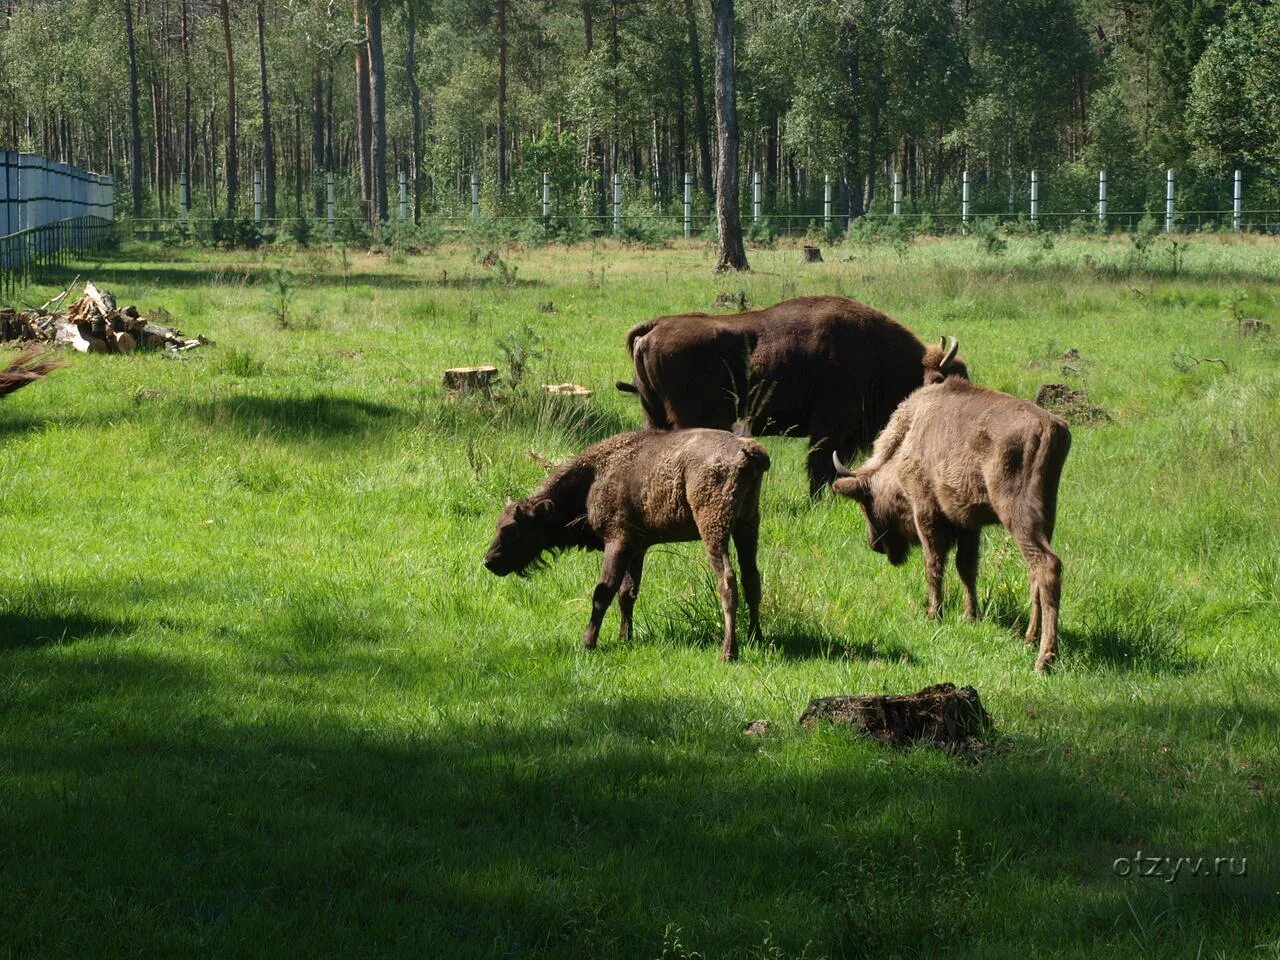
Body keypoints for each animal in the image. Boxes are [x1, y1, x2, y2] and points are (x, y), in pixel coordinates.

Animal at [481, 427, 768, 660]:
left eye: (512, 529)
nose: (488, 561)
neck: (594, 477)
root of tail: (748, 451)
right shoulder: (637, 548)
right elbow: (627, 593)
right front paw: (624, 638)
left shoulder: (618, 542)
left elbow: (603, 592)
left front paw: (588, 642)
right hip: (747, 525)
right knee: (751, 578)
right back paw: (756, 637)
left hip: (714, 527)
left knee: (727, 580)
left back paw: (729, 652)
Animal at [614, 296, 962, 499]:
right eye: (941, 382)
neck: (881, 355)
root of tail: (656, 326)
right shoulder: (829, 427)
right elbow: (820, 465)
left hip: (653, 412)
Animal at [829, 378, 1070, 675]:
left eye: (866, 503)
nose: (875, 545)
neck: (910, 434)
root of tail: (1050, 428)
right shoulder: (969, 525)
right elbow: (966, 569)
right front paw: (970, 616)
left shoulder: (926, 512)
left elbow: (934, 565)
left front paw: (934, 615)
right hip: (1045, 519)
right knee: (1034, 572)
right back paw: (1028, 640)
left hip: (1018, 517)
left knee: (1047, 566)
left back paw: (1043, 659)